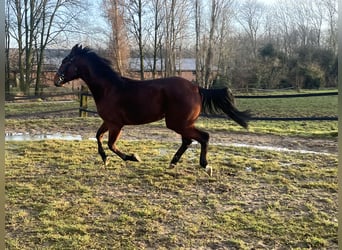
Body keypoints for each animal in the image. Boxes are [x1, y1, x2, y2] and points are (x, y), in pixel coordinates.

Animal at [54, 44, 251, 176]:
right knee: (188, 141)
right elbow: (98, 137)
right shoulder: (108, 122)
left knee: (203, 137)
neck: (108, 88)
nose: (56, 80)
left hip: (177, 123)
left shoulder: (116, 124)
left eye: (66, 61)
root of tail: (197, 88)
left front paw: (133, 157)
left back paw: (206, 166)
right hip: (182, 123)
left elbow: (111, 144)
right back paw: (172, 164)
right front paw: (105, 160)